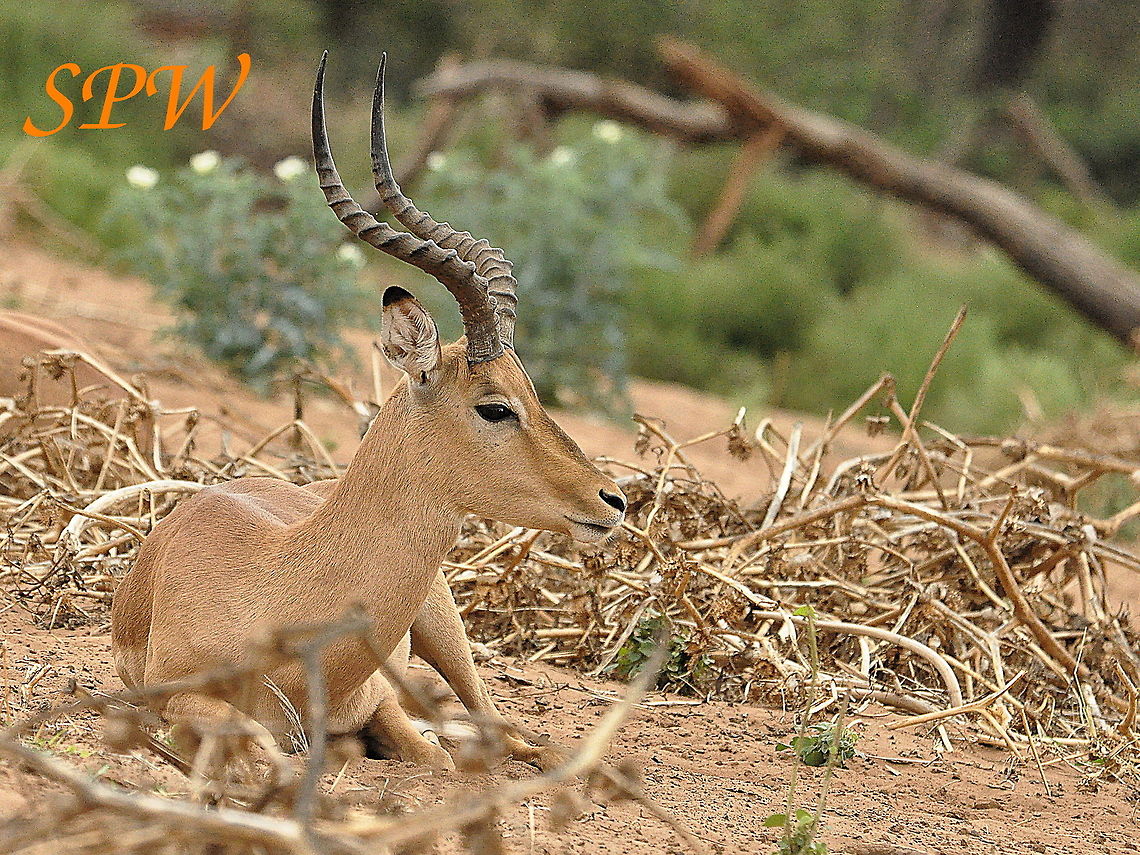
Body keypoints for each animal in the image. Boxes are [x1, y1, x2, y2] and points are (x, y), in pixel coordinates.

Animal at [110, 53, 627, 771]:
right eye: (495, 406)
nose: (613, 500)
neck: (277, 589)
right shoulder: (180, 698)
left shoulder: (381, 704)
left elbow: (438, 758)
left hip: (444, 625)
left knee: (506, 730)